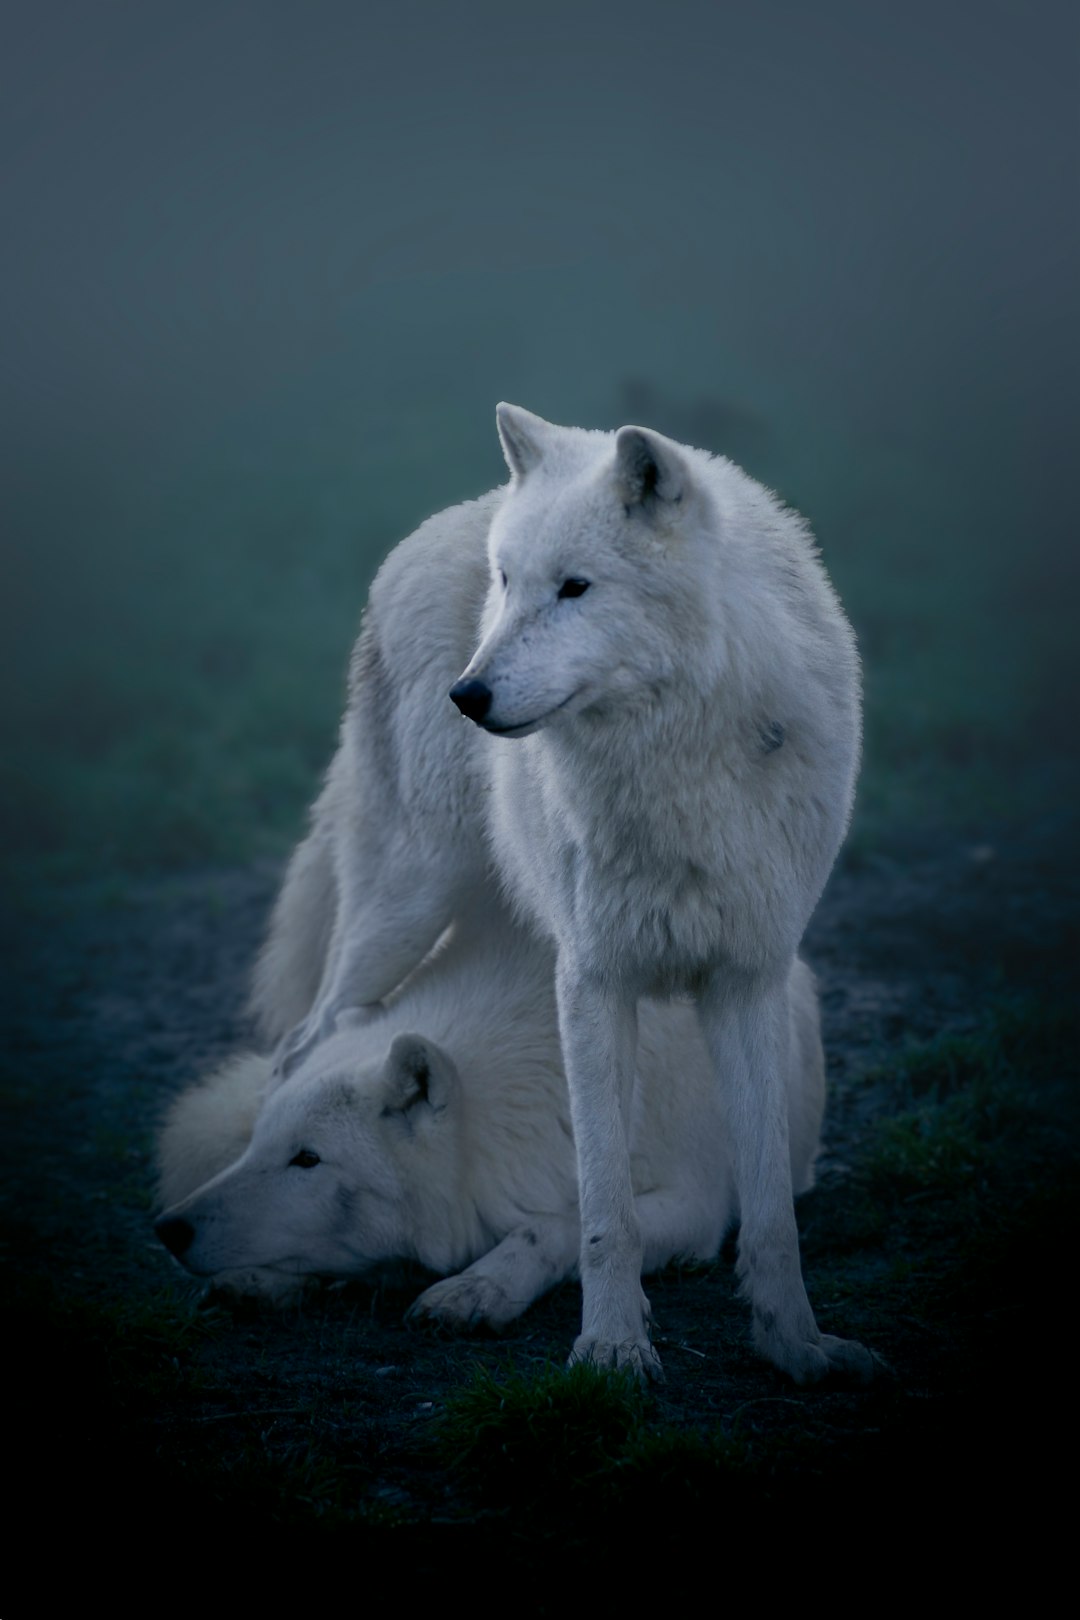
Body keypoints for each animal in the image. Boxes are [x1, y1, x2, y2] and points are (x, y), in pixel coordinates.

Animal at [157, 909, 827, 1319]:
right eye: (257, 1145)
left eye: (307, 1159)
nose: (168, 1228)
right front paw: (263, 1280)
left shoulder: (695, 1204)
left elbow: (558, 1225)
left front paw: (479, 1287)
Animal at [253, 406, 869, 1384]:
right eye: (507, 584)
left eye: (576, 589)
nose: (466, 694)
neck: (672, 770)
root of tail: (446, 517)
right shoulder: (592, 981)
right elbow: (603, 1210)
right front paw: (613, 1349)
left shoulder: (747, 980)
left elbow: (770, 1211)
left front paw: (795, 1346)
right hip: (403, 906)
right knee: (298, 1052)